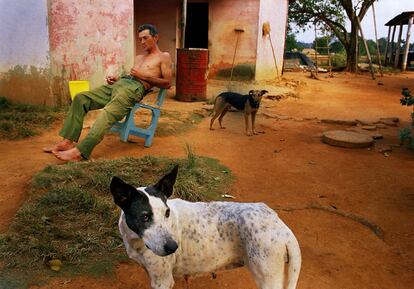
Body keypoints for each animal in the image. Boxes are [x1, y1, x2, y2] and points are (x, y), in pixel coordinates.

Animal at [110, 165, 300, 288]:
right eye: (144, 217)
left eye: (167, 212)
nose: (173, 247)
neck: (136, 240)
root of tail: (282, 228)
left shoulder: (162, 281)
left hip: (268, 278)